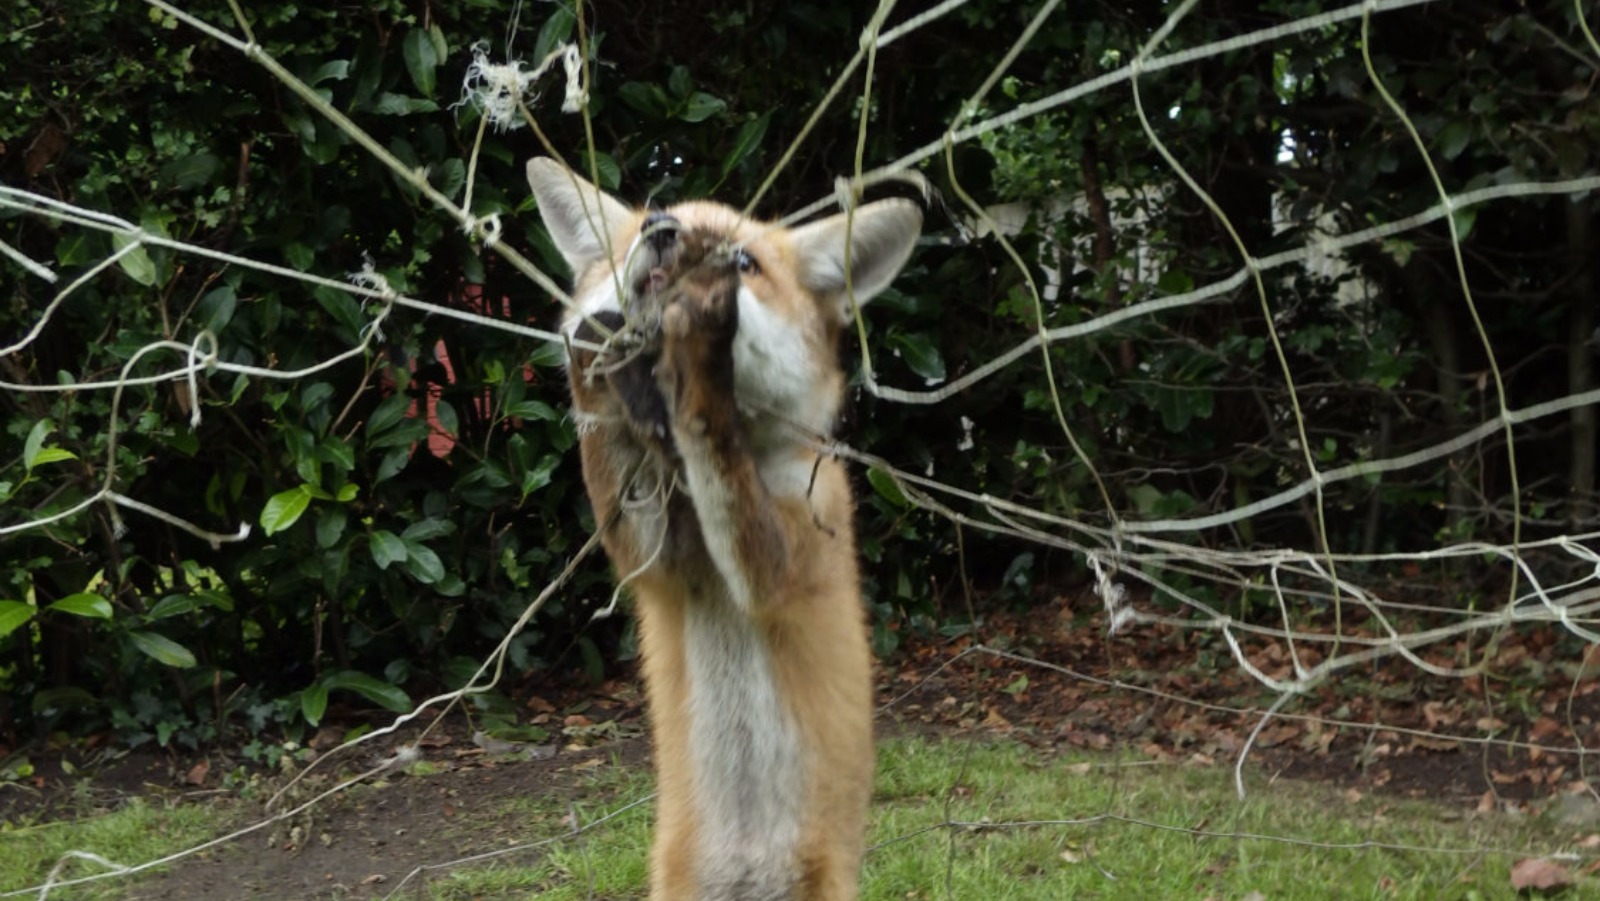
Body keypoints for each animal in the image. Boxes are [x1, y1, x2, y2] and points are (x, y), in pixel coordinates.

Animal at [525, 156, 921, 901]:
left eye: (745, 261)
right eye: (643, 229)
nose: (664, 233)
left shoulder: (784, 554)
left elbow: (713, 436)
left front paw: (699, 366)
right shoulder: (655, 556)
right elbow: (613, 452)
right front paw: (597, 354)